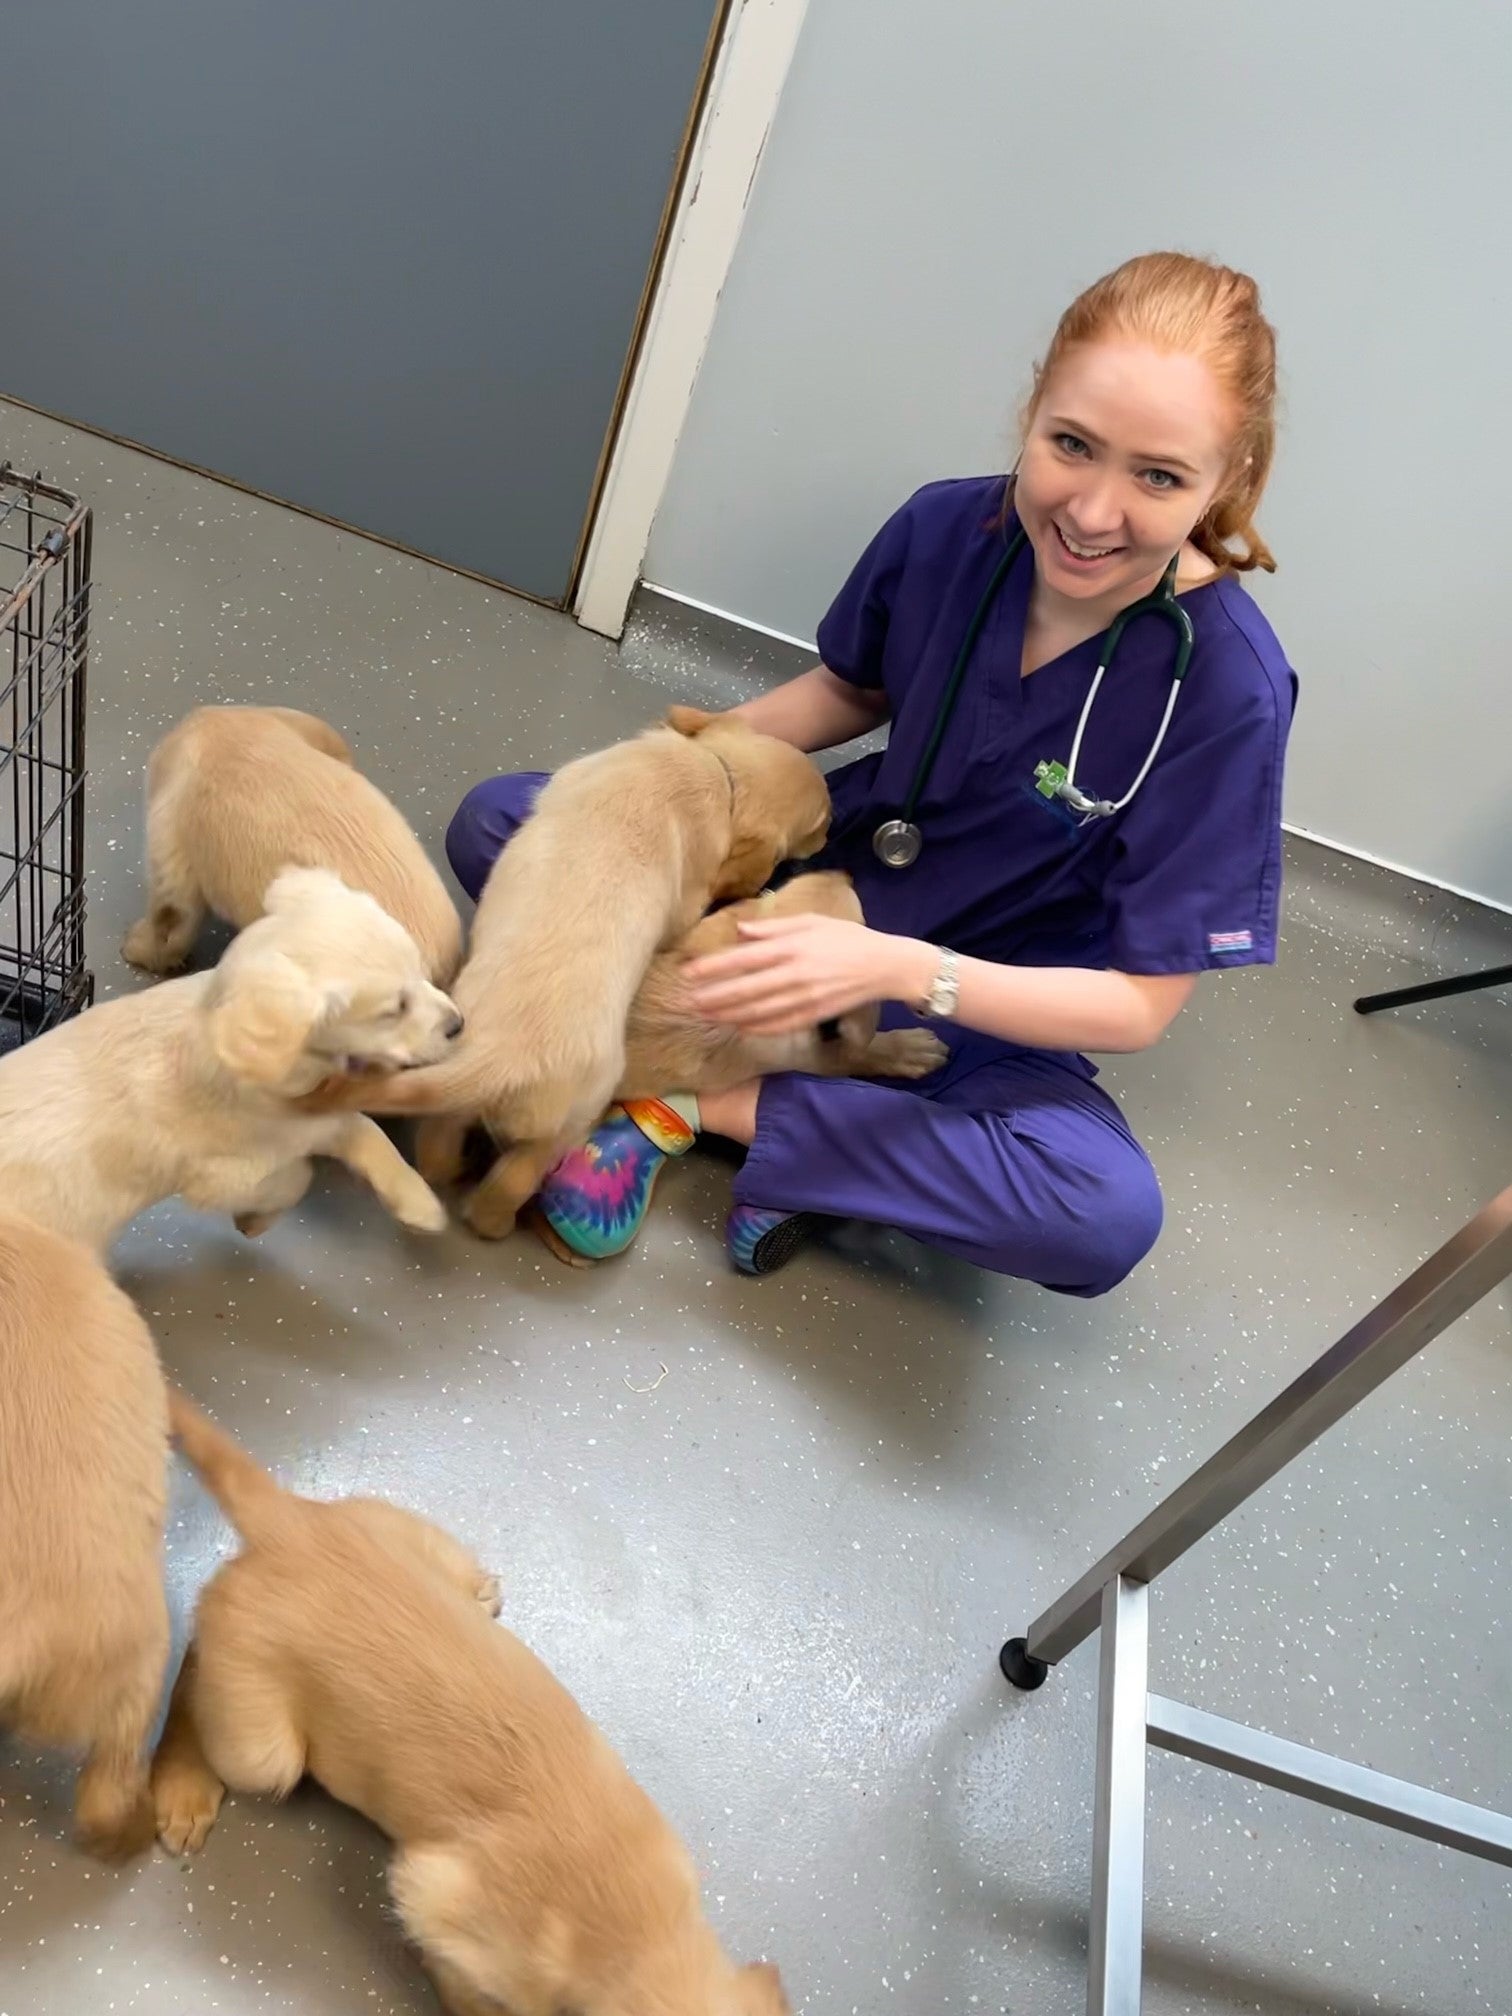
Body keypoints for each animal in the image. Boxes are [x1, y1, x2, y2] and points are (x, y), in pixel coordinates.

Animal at [1, 862, 461, 1249]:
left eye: (421, 972)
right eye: (393, 1010)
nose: (459, 1024)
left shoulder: (304, 1114)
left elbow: (360, 1126)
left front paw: (416, 1199)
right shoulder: (228, 1171)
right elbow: (298, 1175)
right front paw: (256, 1220)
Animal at [152, 1395, 794, 2016]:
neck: (642, 1930)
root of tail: (288, 1523)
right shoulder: (431, 1896)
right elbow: (463, 1982)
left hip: (404, 1534)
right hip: (261, 1748)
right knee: (191, 1665)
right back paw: (183, 1790)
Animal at [304, 709, 834, 1241]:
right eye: (821, 822)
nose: (830, 843)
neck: (716, 768)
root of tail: (500, 1058)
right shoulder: (687, 903)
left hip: (456, 1103)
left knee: (439, 1154)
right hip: (567, 1124)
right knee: (505, 1190)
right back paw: (499, 1221)